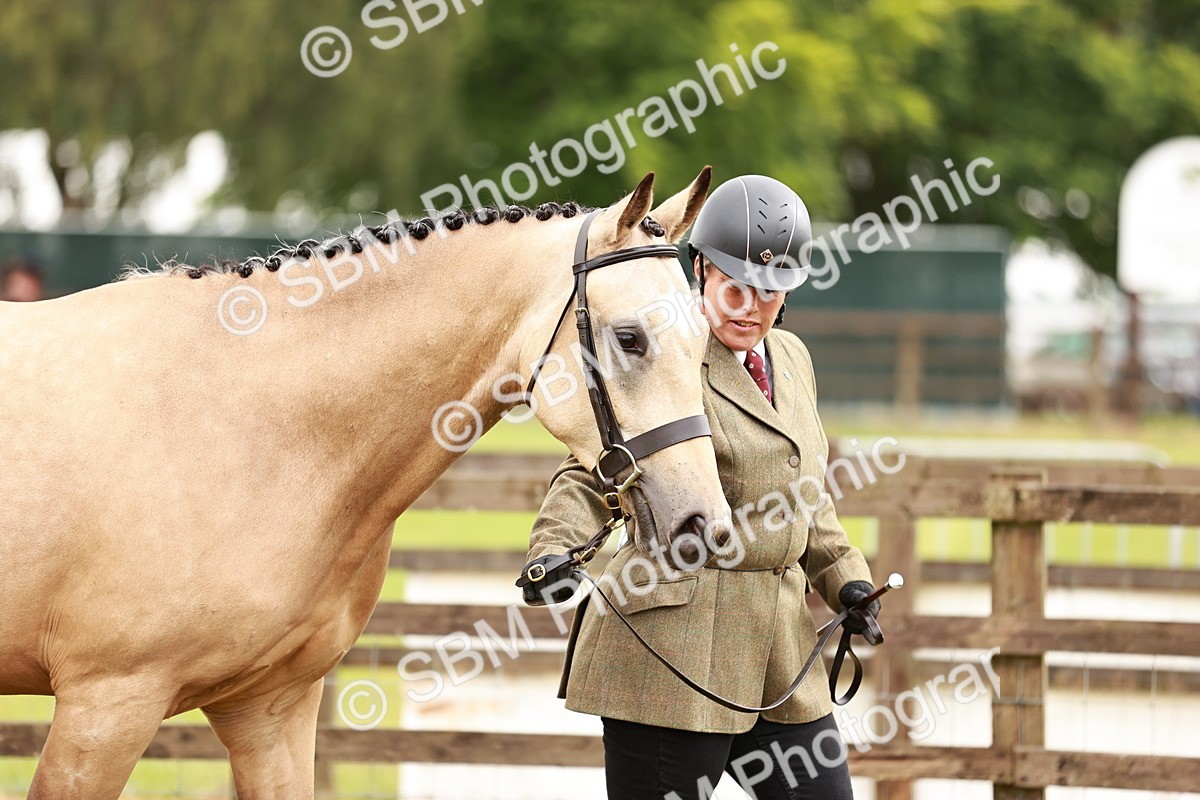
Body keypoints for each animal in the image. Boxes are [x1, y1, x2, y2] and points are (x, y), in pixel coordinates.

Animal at [0, 168, 731, 798]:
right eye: (631, 338)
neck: (247, 420)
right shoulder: (107, 706)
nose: (705, 525)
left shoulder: (271, 710)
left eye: (704, 338)